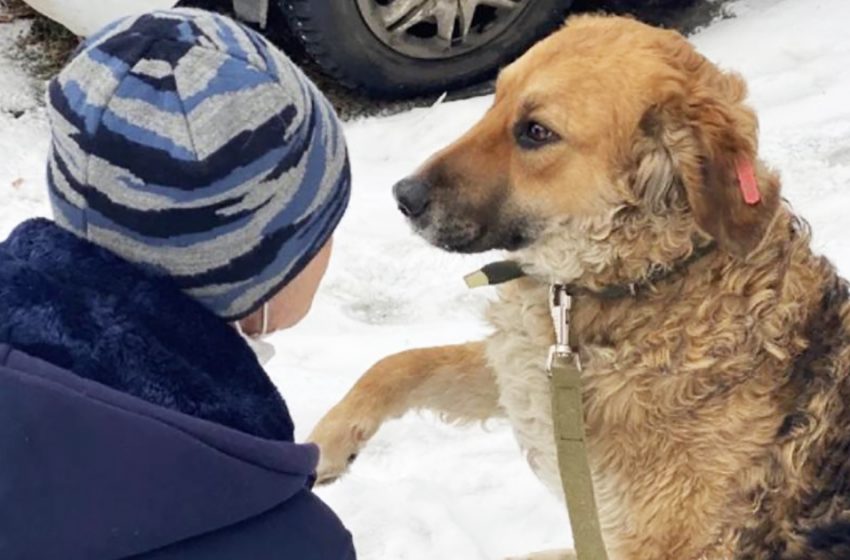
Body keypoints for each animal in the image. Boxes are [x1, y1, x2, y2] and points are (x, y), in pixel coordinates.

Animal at [308, 13, 848, 560]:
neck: (641, 281)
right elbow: (402, 362)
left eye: (536, 132)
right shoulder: (526, 376)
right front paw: (331, 440)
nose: (403, 196)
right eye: (495, 98)